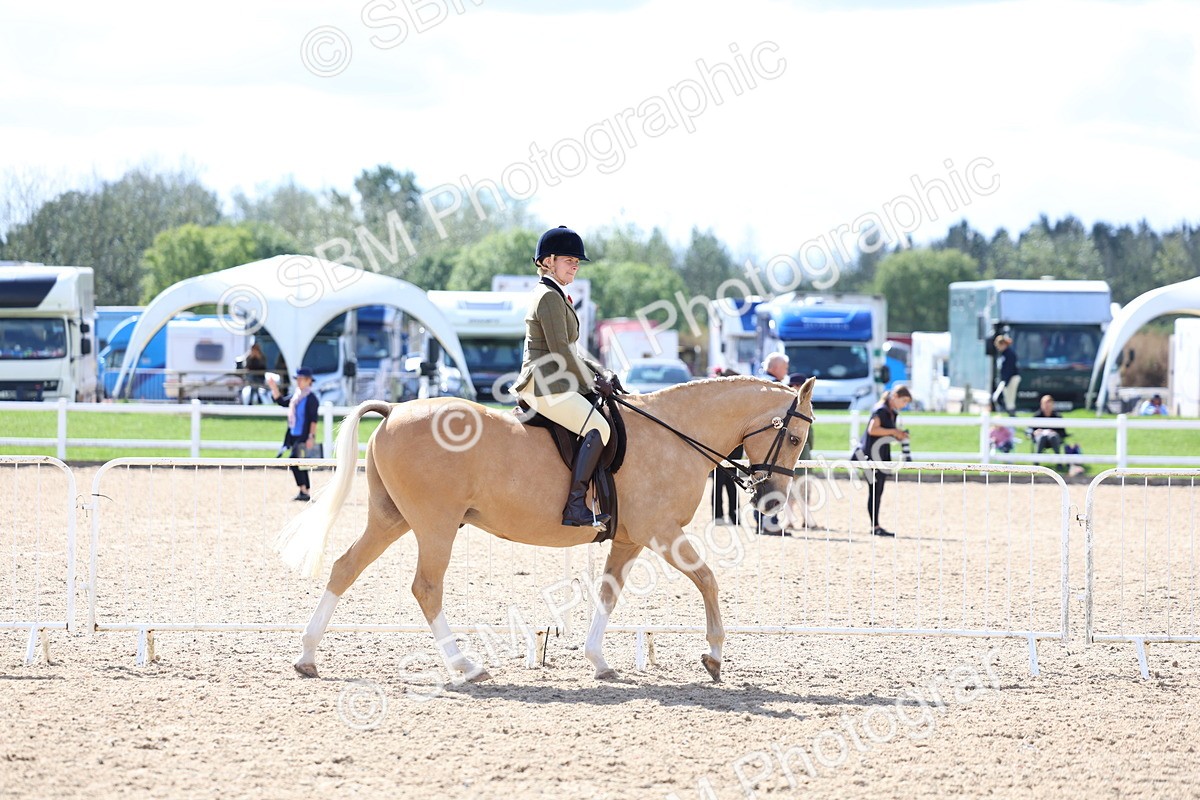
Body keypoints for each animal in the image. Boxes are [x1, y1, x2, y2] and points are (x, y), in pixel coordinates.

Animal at [276, 375, 815, 683]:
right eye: (793, 437)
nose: (768, 498)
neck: (674, 434)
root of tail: (393, 412)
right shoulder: (661, 531)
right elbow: (708, 579)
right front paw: (715, 656)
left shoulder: (628, 537)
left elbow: (608, 592)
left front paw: (599, 661)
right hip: (435, 525)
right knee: (426, 587)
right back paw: (466, 666)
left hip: (392, 519)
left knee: (345, 567)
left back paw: (307, 657)